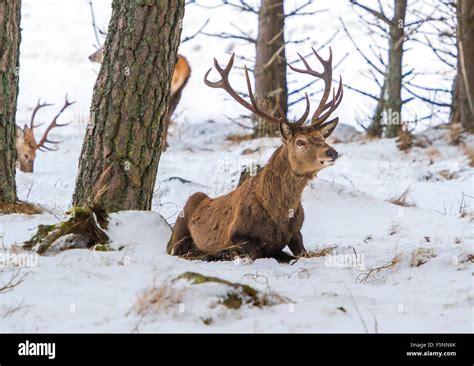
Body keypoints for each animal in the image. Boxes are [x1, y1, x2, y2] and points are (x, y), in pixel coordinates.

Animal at [168, 48, 342, 264]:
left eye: (321, 137)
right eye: (300, 141)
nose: (332, 152)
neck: (279, 214)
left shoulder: (296, 233)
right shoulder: (237, 234)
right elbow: (255, 253)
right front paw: (227, 253)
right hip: (182, 222)